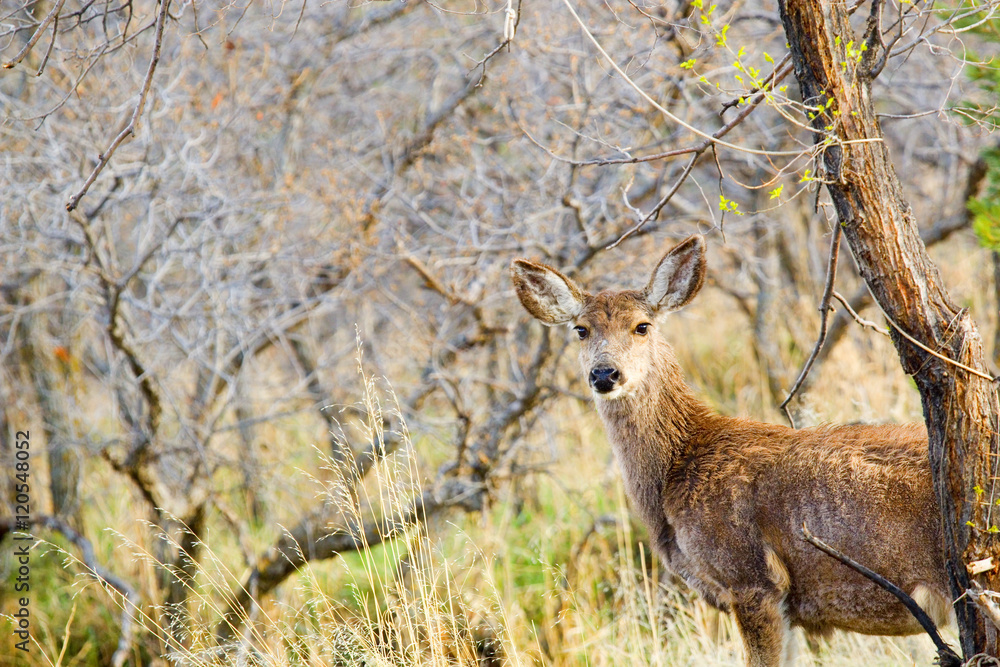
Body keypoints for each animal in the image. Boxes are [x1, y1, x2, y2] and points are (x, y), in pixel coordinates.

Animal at [510, 236, 954, 667]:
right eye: (581, 330)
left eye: (641, 326)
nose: (604, 373)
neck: (681, 462)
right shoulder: (785, 603)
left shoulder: (751, 576)